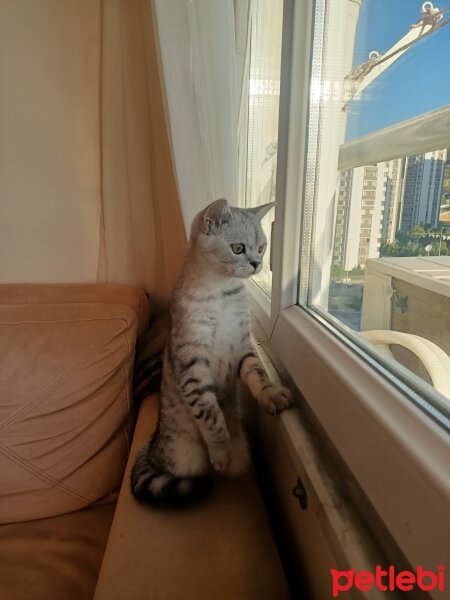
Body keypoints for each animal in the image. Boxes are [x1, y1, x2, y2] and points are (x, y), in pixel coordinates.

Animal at [130, 198, 292, 506]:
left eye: (261, 247)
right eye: (238, 248)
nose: (257, 263)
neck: (222, 294)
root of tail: (153, 443)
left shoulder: (242, 346)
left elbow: (259, 375)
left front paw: (272, 395)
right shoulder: (193, 362)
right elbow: (210, 415)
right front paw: (220, 451)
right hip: (182, 457)